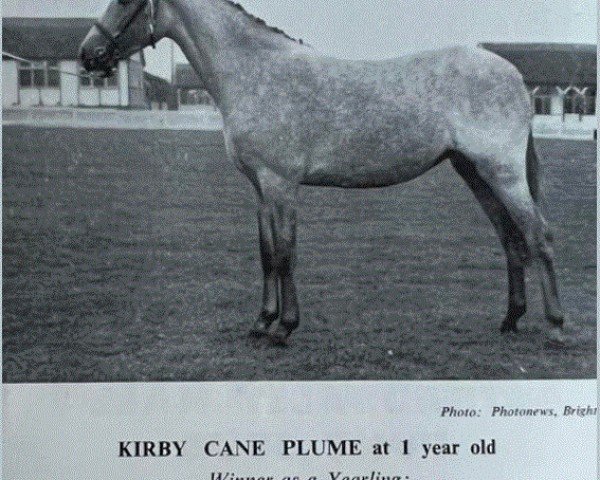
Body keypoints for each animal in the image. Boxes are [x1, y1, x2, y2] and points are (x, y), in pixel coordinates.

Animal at [81, 0, 568, 344]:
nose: (89, 54)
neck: (255, 73)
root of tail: (513, 75)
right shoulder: (259, 188)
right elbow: (265, 255)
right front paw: (261, 322)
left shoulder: (280, 184)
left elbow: (285, 253)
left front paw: (284, 327)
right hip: (474, 172)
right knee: (511, 240)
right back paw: (510, 320)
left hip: (502, 173)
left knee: (538, 236)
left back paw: (556, 325)